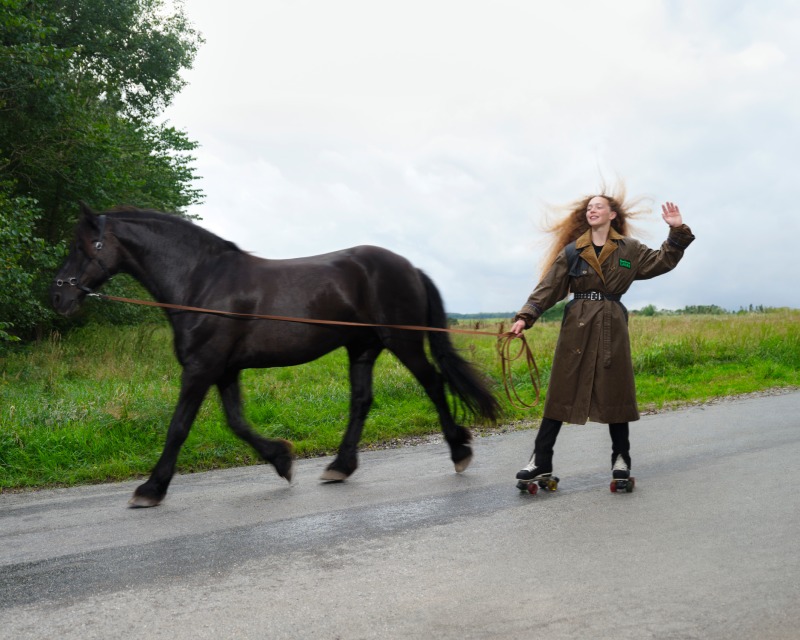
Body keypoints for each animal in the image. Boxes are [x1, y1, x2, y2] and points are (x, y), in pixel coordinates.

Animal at [51, 204, 500, 504]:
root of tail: (410, 267)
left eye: (84, 245)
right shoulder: (224, 370)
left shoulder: (200, 368)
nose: (58, 295)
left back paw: (459, 451)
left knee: (434, 384)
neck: (201, 283)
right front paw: (282, 459)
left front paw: (151, 488)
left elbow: (178, 427)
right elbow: (236, 423)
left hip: (401, 341)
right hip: (361, 349)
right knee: (361, 401)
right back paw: (340, 466)